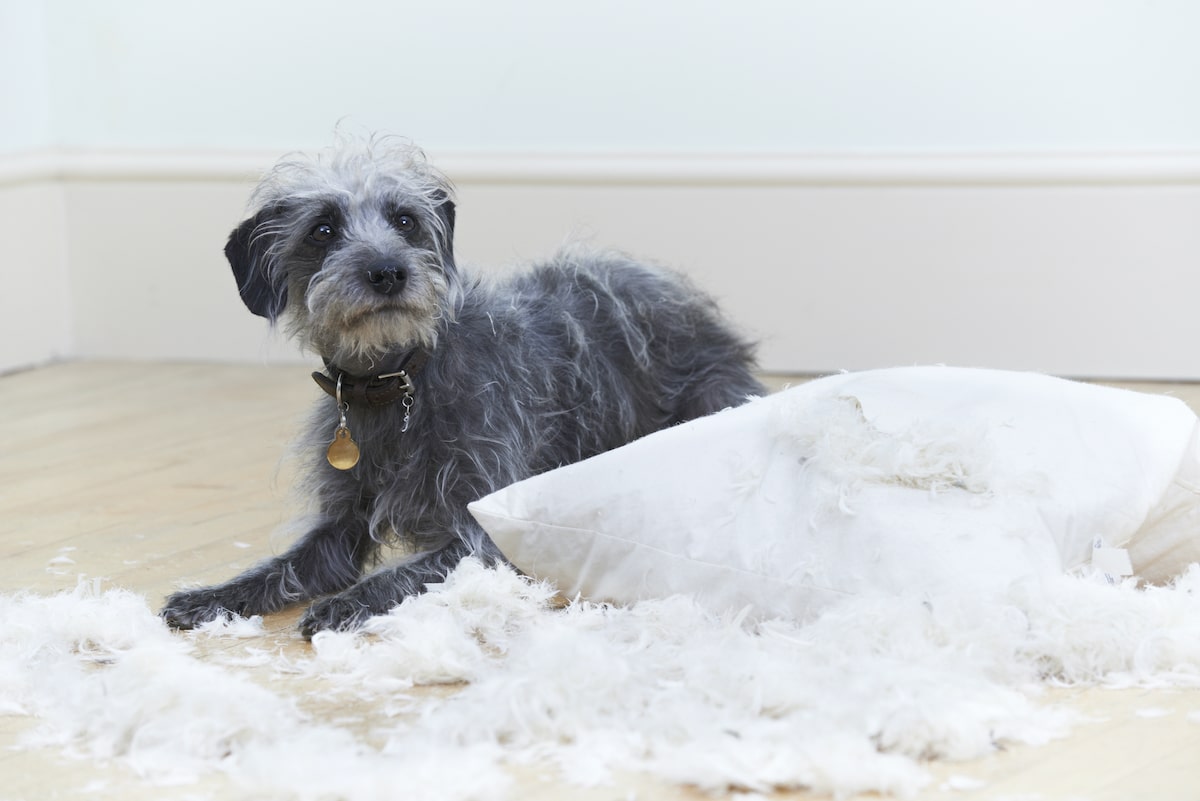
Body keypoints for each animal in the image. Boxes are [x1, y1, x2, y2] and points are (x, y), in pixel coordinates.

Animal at [159, 139, 763, 637]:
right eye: (322, 230)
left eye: (405, 220)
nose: (388, 271)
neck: (398, 380)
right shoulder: (338, 529)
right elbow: (280, 568)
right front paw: (212, 596)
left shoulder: (484, 529)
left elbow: (402, 574)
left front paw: (348, 604)